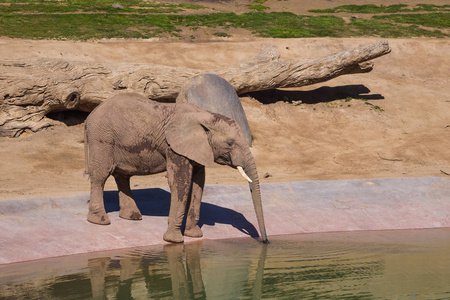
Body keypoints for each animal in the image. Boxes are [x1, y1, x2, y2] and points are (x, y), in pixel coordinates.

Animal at [84, 92, 268, 244]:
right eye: (230, 143)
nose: (264, 241)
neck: (205, 116)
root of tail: (90, 115)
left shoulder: (197, 149)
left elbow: (198, 183)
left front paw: (194, 235)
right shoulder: (174, 147)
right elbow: (180, 182)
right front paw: (174, 240)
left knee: (122, 176)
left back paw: (132, 217)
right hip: (102, 138)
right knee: (100, 176)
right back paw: (100, 221)